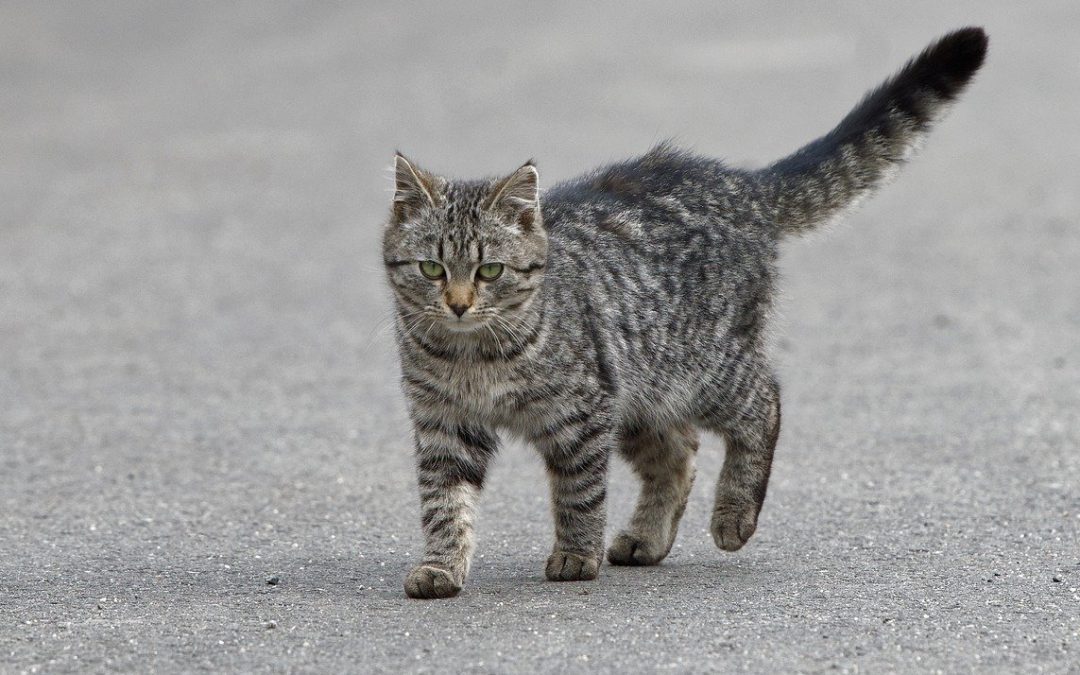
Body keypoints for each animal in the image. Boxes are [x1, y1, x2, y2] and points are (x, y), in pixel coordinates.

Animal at [382, 26, 989, 596]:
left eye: (490, 271)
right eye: (432, 269)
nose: (459, 305)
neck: (472, 354)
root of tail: (742, 184)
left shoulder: (582, 411)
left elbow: (579, 492)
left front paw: (576, 554)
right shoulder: (444, 423)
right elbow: (444, 503)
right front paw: (441, 565)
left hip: (703, 368)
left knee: (764, 400)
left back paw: (734, 515)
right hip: (644, 390)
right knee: (679, 453)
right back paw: (648, 538)